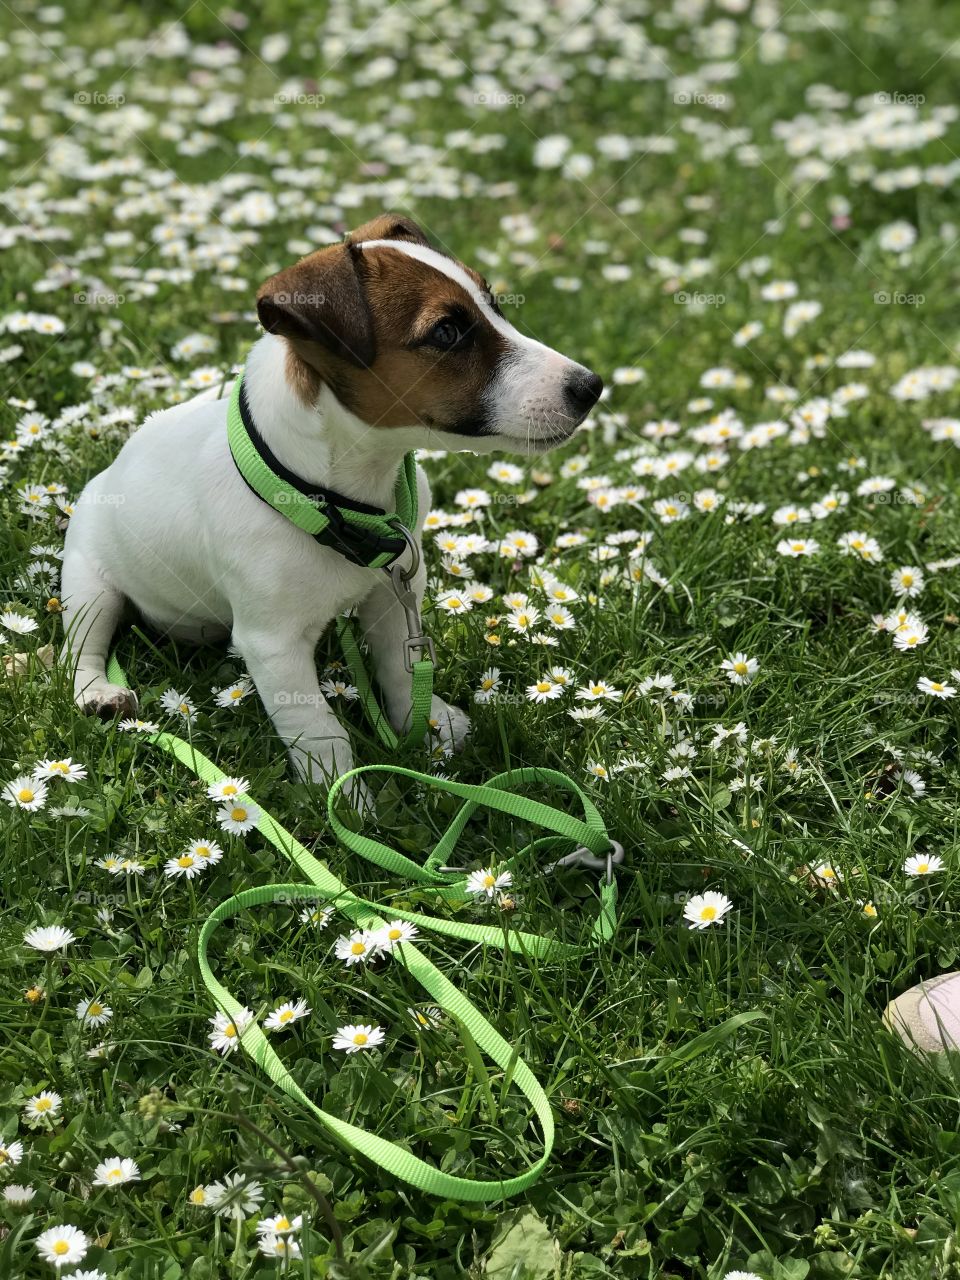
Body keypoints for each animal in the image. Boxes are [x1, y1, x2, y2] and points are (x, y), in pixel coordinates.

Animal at [60, 213, 601, 803]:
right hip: (88, 585)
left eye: (494, 303)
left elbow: (401, 670)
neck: (334, 500)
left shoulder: (396, 594)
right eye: (447, 333)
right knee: (79, 649)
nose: (591, 386)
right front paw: (345, 799)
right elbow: (320, 731)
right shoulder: (273, 644)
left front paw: (427, 725)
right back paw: (99, 692)